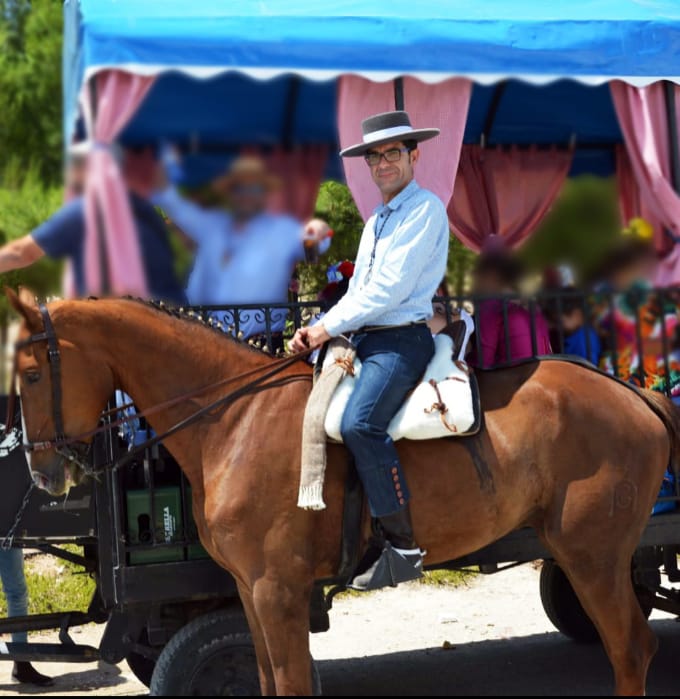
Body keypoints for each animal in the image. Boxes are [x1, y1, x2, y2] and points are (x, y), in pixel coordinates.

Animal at [6, 290, 680, 696]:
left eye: (32, 374)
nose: (43, 475)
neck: (234, 418)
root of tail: (633, 393)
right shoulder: (250, 590)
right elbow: (269, 682)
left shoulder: (278, 590)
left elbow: (291, 685)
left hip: (593, 555)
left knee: (630, 650)